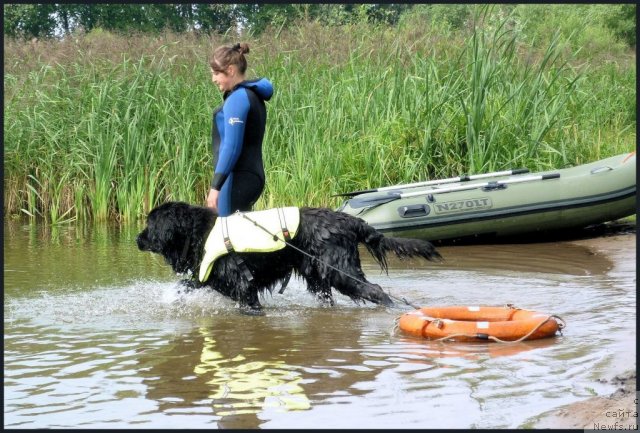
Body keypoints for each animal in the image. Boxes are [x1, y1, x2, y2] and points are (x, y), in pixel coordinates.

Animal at [138, 202, 442, 310]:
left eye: (149, 225)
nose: (136, 239)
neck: (197, 233)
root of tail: (348, 220)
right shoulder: (209, 278)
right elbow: (186, 285)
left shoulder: (242, 284)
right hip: (318, 277)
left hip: (341, 271)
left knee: (376, 290)